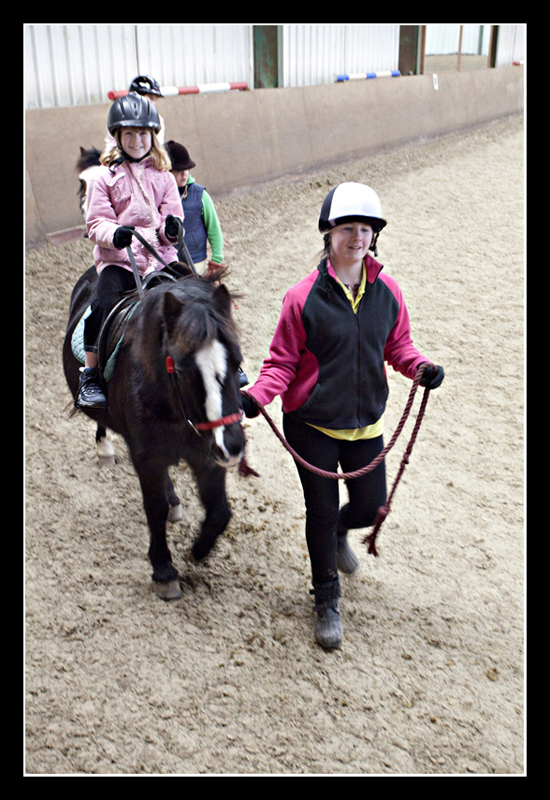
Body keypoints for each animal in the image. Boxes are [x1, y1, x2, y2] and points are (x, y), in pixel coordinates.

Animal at [62, 268, 246, 600]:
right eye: (182, 370)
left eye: (237, 362)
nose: (233, 446)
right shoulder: (147, 457)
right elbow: (154, 508)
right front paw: (164, 571)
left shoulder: (207, 456)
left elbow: (220, 512)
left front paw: (197, 551)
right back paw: (104, 446)